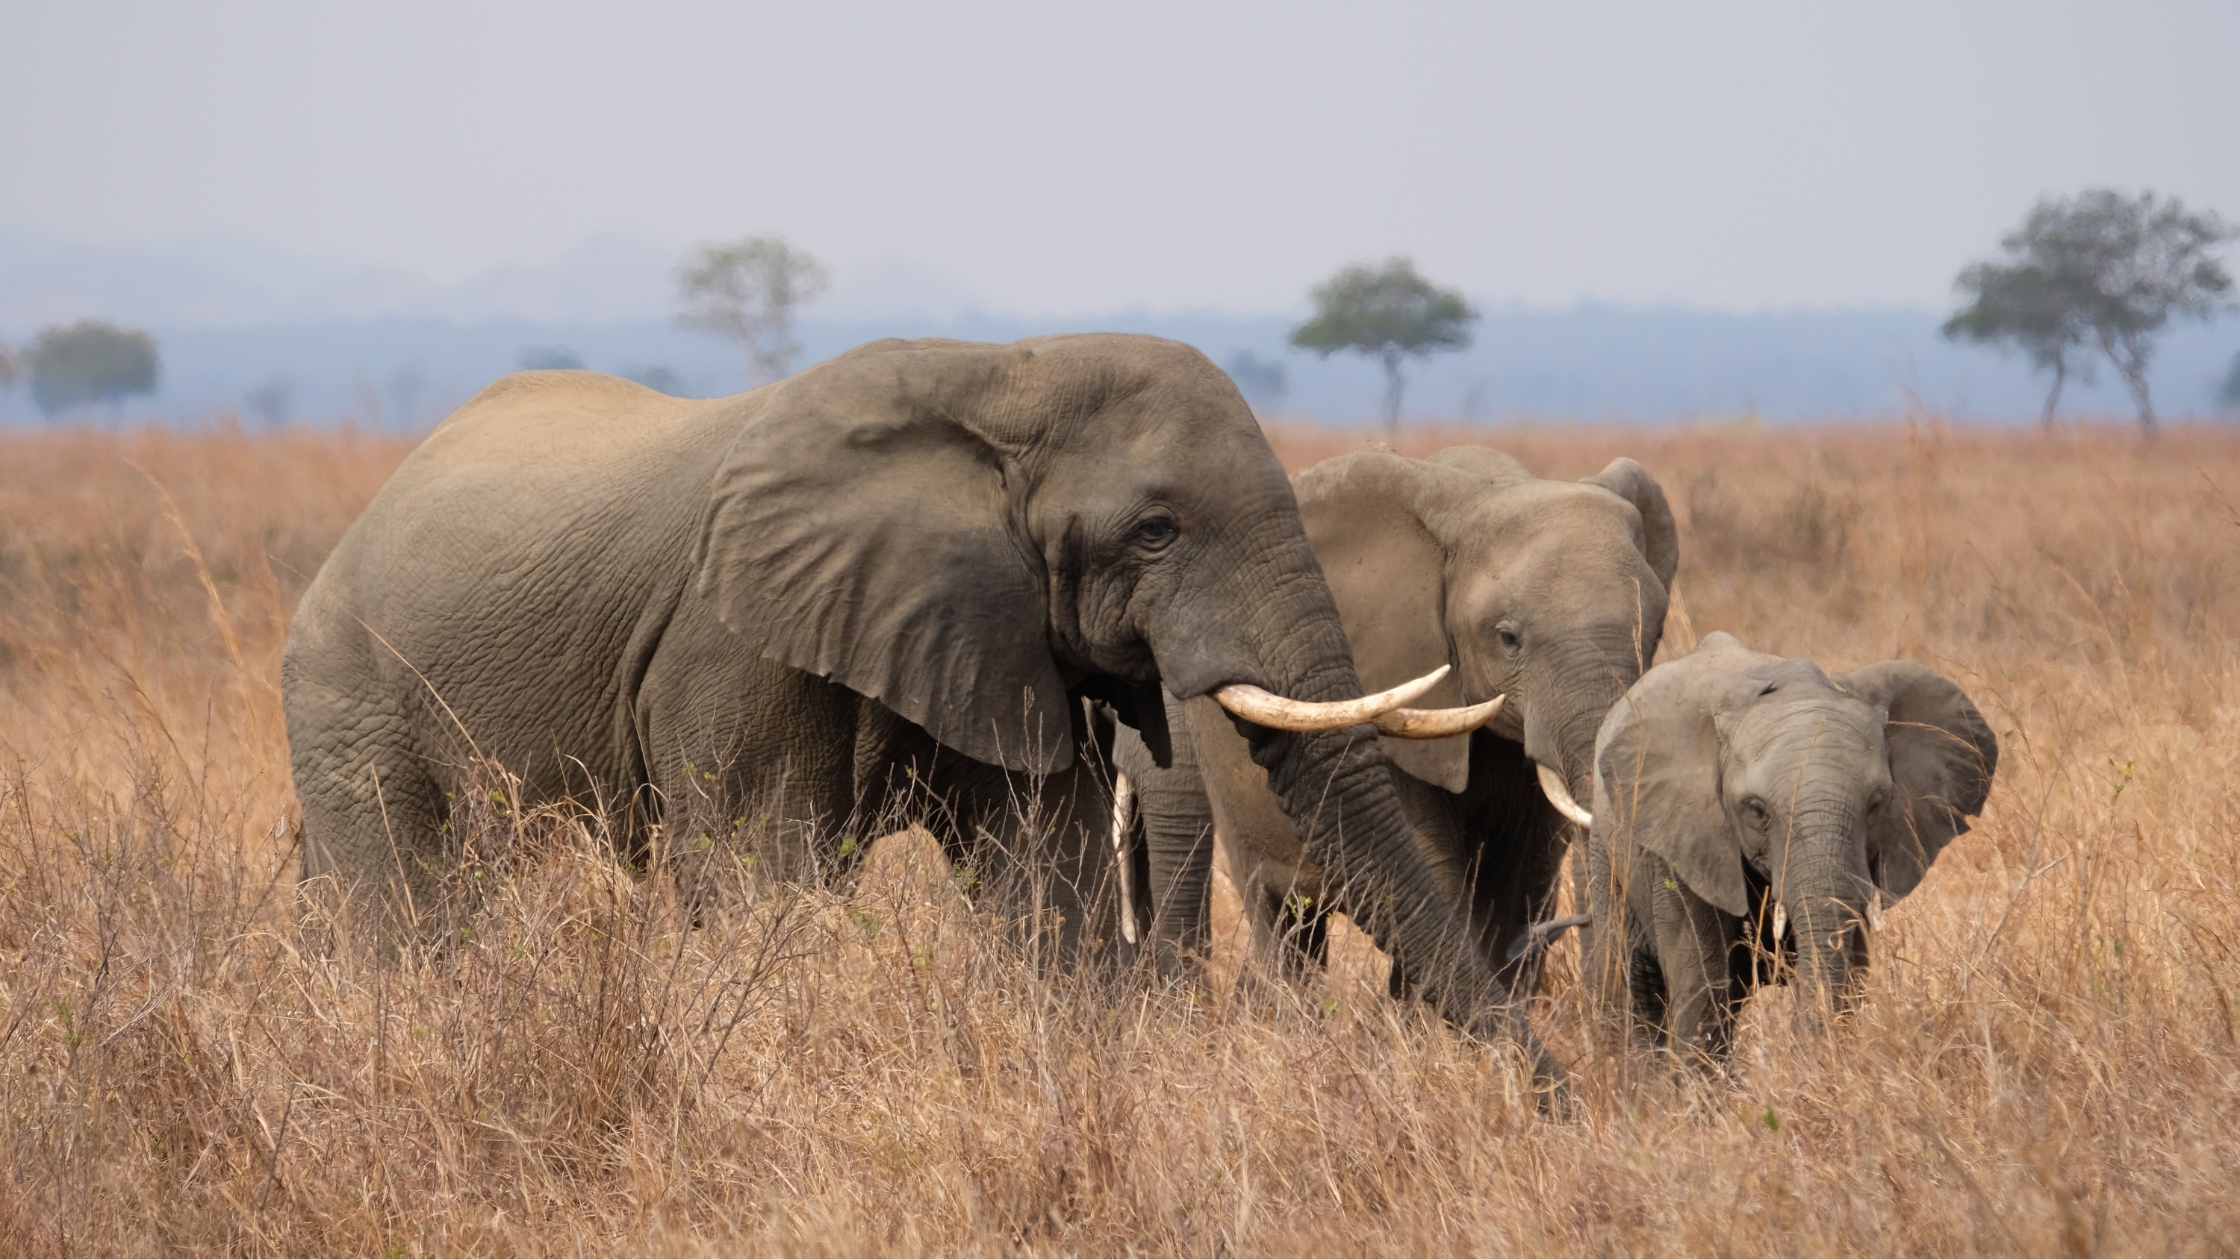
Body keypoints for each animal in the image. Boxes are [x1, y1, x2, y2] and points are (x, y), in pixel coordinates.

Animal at [282, 334, 1555, 1065]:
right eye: (1154, 530)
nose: (1540, 1093)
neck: (1003, 376)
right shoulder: (733, 639)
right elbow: (762, 864)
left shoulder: (990, 629)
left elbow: (1042, 870)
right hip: (345, 692)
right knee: (404, 900)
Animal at [1577, 631, 1998, 1062]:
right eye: (1757, 810)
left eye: (1876, 804)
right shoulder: (1681, 838)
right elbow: (1701, 984)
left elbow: (1852, 965)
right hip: (1607, 852)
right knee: (1635, 984)